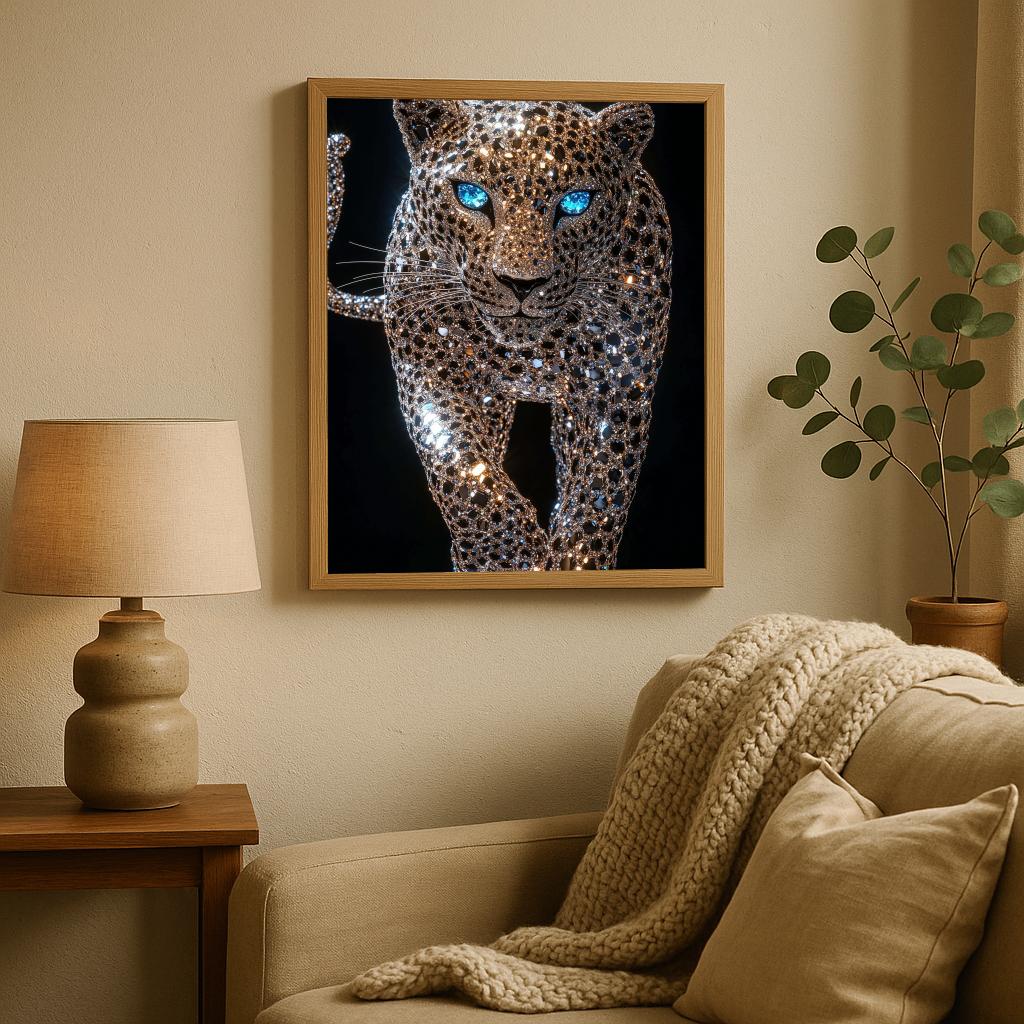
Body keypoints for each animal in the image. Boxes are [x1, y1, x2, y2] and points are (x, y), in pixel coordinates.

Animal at [326, 99, 672, 572]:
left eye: (576, 202)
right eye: (471, 195)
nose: (521, 284)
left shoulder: (619, 386)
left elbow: (598, 495)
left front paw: (573, 560)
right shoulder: (427, 366)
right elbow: (456, 462)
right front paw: (509, 553)